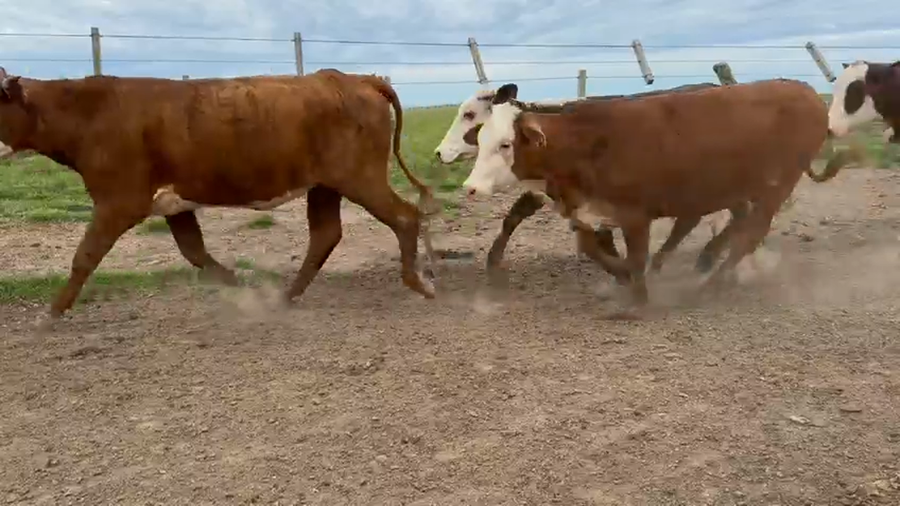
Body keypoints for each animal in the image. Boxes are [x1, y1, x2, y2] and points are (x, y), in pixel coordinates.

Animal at [0, 67, 438, 323]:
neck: (89, 113)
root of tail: (353, 77)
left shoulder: (119, 201)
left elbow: (84, 257)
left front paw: (52, 313)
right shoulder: (173, 204)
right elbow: (195, 252)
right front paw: (240, 284)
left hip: (358, 177)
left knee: (404, 216)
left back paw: (420, 283)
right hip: (324, 186)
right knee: (326, 235)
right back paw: (286, 296)